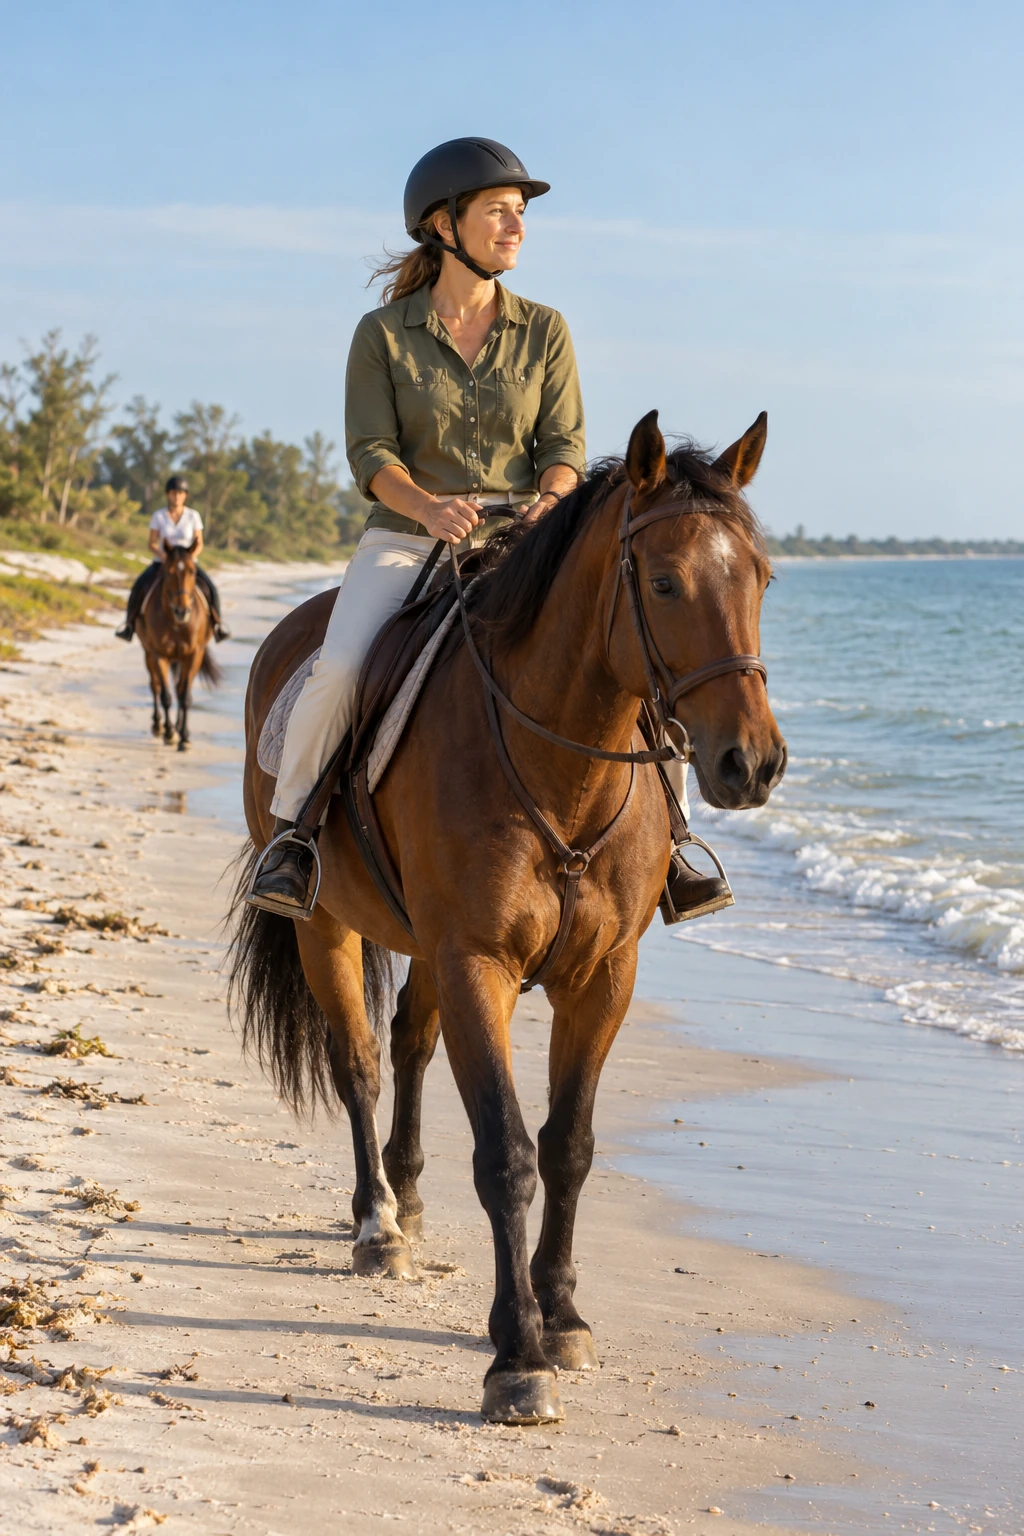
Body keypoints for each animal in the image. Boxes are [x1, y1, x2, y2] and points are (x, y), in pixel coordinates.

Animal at [134, 538, 220, 750]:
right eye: (169, 571)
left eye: (192, 571)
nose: (182, 611)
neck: (176, 623)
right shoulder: (159, 654)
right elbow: (166, 696)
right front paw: (169, 733)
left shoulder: (194, 654)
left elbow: (185, 696)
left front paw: (184, 737)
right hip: (149, 653)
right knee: (155, 686)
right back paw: (159, 725)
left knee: (180, 688)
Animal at [228, 410, 787, 1426]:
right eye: (663, 581)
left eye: (760, 578)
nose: (751, 764)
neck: (561, 764)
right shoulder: (477, 963)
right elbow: (507, 1154)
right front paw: (515, 1355)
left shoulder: (601, 976)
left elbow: (569, 1147)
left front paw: (561, 1316)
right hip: (326, 927)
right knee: (358, 1062)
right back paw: (377, 1225)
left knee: (408, 1042)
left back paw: (407, 1200)